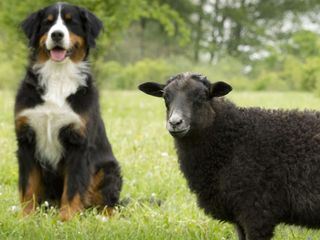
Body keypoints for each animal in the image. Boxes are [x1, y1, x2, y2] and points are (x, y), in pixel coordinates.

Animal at [13, 2, 122, 221]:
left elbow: (73, 187)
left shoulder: (78, 142)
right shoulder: (26, 139)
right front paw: (26, 217)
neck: (58, 76)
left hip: (108, 169)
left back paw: (106, 217)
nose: (56, 34)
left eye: (71, 22)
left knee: (110, 204)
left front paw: (67, 219)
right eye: (47, 23)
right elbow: (28, 186)